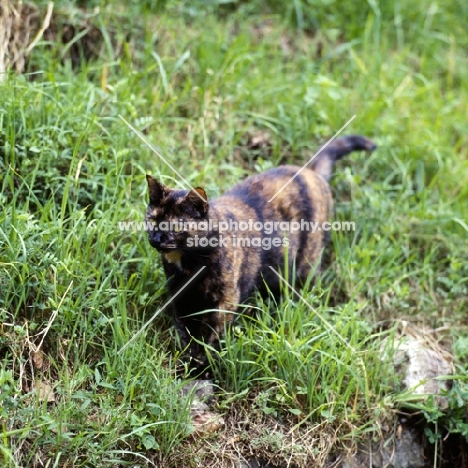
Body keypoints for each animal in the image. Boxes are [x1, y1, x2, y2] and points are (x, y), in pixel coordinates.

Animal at [146, 135, 376, 372]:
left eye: (174, 227)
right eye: (152, 220)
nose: (156, 238)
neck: (189, 264)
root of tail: (310, 172)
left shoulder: (226, 301)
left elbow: (211, 335)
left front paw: (202, 364)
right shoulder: (180, 297)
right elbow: (184, 332)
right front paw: (188, 361)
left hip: (305, 266)